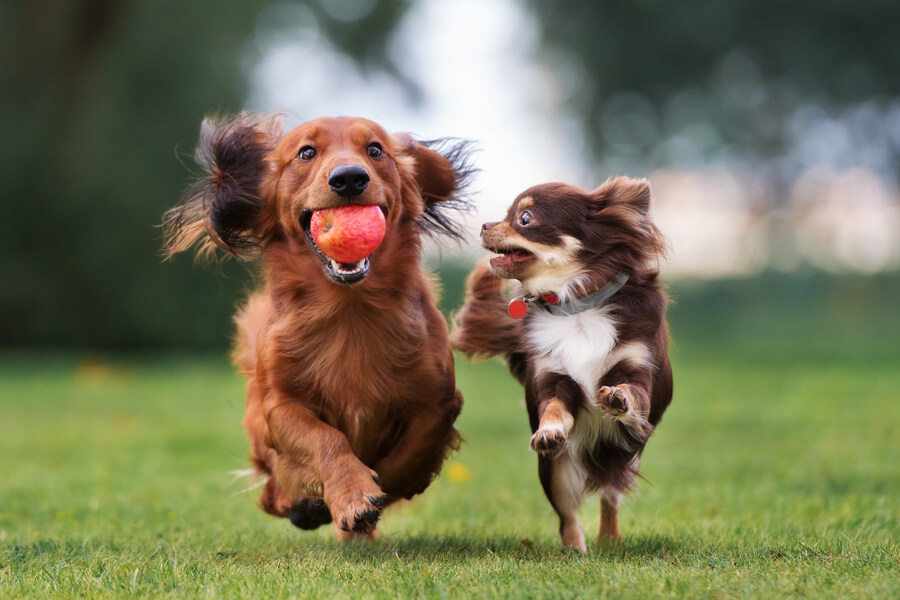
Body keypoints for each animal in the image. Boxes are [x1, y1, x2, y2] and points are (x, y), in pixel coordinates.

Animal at [163, 112, 474, 540]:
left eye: (375, 149)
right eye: (306, 153)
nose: (349, 178)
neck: (349, 311)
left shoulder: (439, 399)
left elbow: (410, 455)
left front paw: (377, 489)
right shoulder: (280, 407)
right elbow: (326, 438)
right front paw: (352, 493)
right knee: (271, 492)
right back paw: (304, 505)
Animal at [454, 176, 672, 552]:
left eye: (524, 218)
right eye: (507, 214)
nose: (484, 225)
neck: (576, 306)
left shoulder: (637, 369)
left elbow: (632, 392)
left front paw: (617, 397)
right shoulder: (553, 378)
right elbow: (554, 408)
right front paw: (550, 430)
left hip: (624, 455)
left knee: (609, 496)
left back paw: (609, 540)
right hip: (554, 472)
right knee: (568, 515)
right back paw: (574, 551)